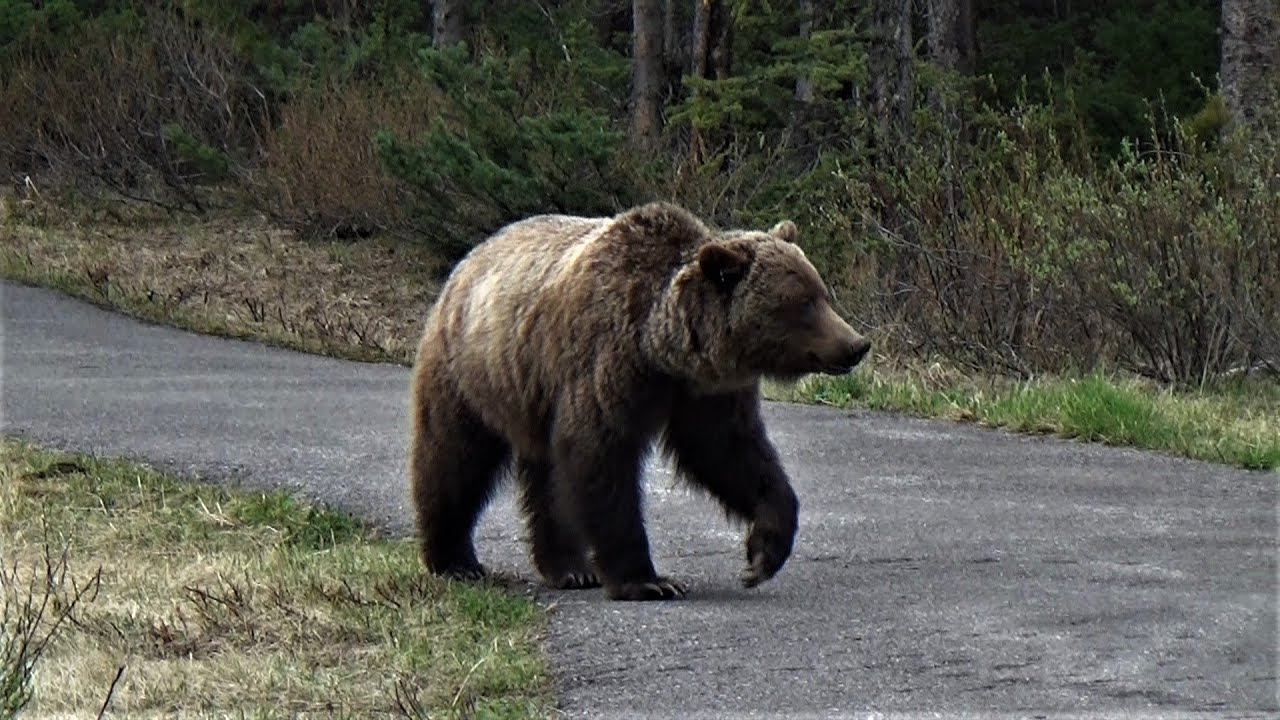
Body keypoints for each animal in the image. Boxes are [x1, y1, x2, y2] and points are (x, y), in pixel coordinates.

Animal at [407, 201, 870, 601]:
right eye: (802, 303)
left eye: (821, 292)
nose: (856, 344)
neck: (661, 350)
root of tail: (467, 262)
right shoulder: (604, 365)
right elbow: (602, 461)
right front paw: (649, 580)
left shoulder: (706, 394)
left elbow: (733, 455)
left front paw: (763, 554)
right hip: (470, 374)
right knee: (454, 458)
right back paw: (455, 560)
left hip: (532, 396)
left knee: (545, 479)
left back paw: (570, 569)